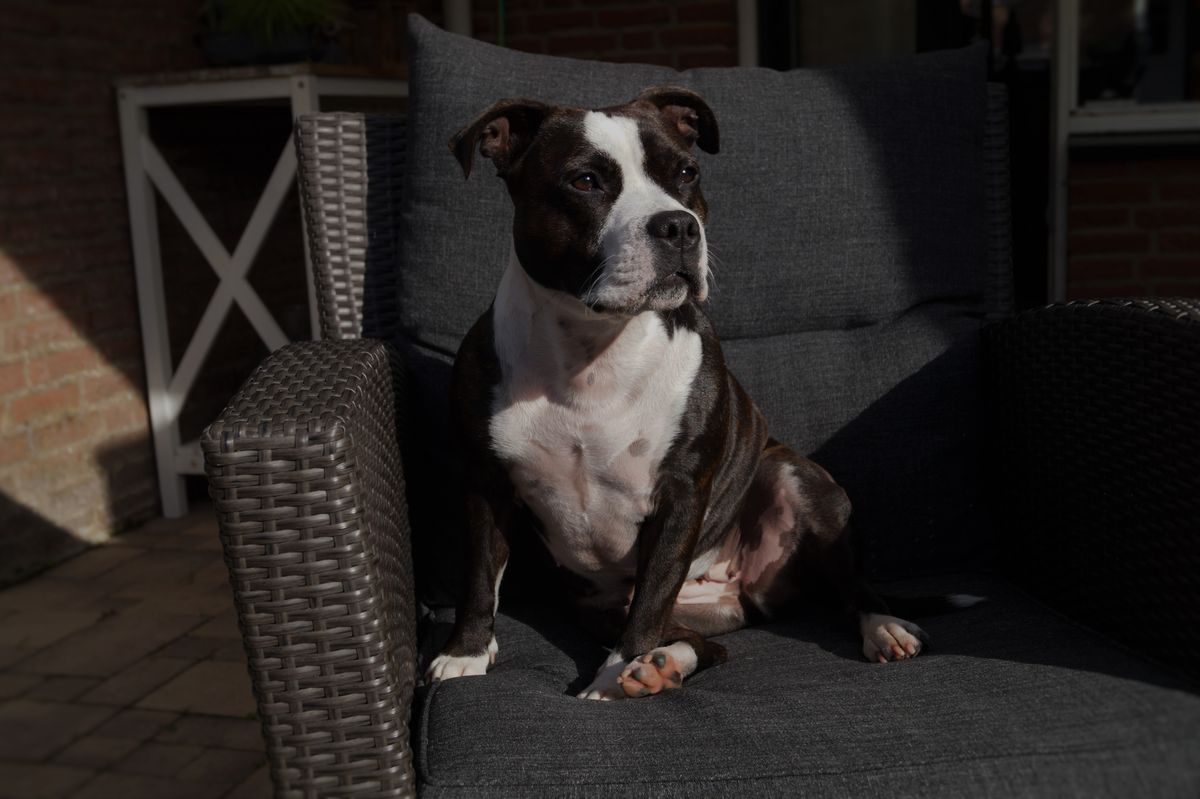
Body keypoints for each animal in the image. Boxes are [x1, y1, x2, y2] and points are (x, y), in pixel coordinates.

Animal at [422, 85, 974, 695]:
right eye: (585, 181)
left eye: (686, 172)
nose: (678, 225)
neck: (592, 353)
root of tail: (739, 595)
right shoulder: (485, 482)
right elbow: (479, 577)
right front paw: (466, 654)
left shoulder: (681, 494)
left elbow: (650, 599)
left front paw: (610, 680)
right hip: (603, 606)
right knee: (704, 643)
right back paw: (663, 665)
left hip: (797, 477)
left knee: (847, 586)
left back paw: (880, 628)